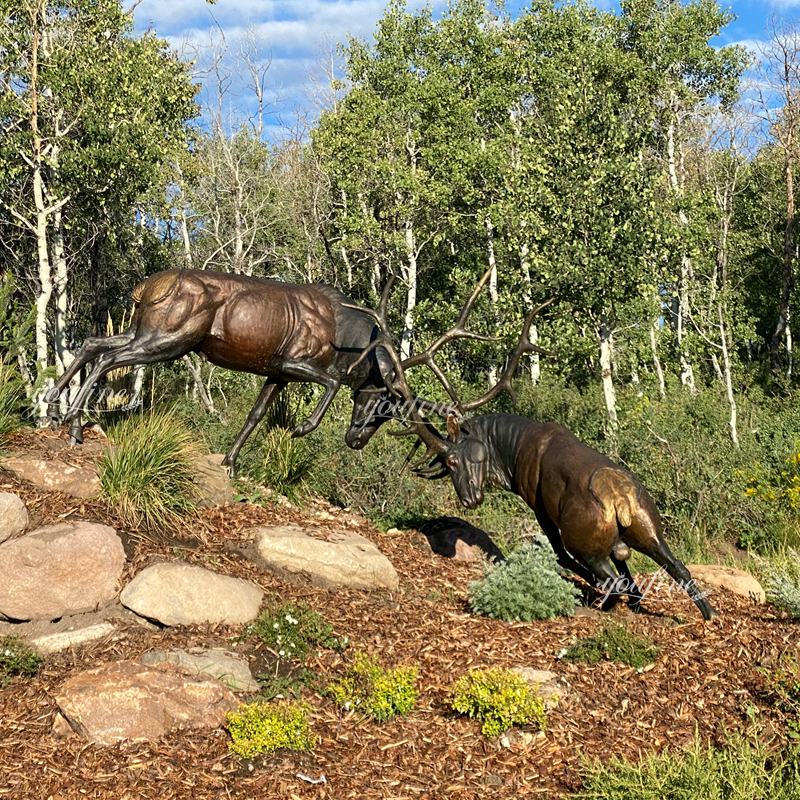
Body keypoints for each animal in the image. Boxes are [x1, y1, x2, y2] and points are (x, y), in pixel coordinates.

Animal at [45, 268, 410, 473]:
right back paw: (72, 421)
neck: (346, 343)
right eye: (384, 403)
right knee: (108, 358)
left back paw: (54, 409)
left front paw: (229, 461)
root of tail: (145, 288)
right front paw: (302, 427)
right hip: (170, 338)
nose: (356, 440)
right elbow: (332, 382)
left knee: (92, 343)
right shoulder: (292, 361)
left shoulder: (277, 373)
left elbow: (255, 415)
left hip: (143, 330)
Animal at [352, 282, 717, 621]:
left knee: (608, 575)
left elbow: (561, 555)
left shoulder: (539, 505)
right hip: (648, 527)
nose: (470, 499)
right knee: (676, 566)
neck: (509, 455)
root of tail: (620, 501)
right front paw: (637, 601)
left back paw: (600, 604)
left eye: (452, 459)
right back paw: (707, 613)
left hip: (584, 537)